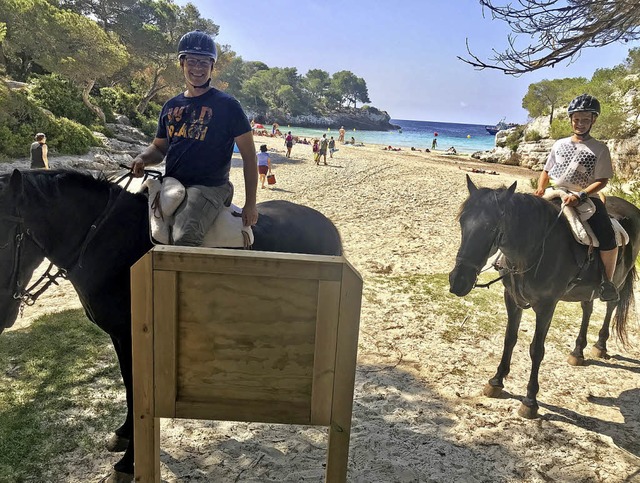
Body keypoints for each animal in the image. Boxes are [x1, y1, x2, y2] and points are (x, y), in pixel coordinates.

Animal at [0, 169, 342, 480]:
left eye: (3, 242)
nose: (3, 316)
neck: (104, 239)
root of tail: (328, 227)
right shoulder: (120, 337)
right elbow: (129, 387)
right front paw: (124, 433)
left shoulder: (131, 335)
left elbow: (135, 390)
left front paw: (127, 464)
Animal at [450, 177, 640, 420]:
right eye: (462, 222)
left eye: (492, 227)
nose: (458, 281)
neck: (535, 249)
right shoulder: (512, 299)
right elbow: (509, 339)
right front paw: (496, 381)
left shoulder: (546, 306)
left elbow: (536, 350)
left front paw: (530, 401)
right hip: (587, 289)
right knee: (587, 308)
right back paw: (578, 352)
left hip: (617, 280)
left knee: (611, 306)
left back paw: (600, 345)